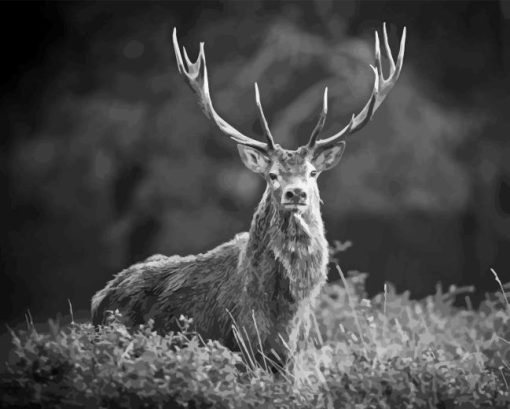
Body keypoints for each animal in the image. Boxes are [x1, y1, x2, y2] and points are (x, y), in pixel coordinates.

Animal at [91, 23, 406, 364]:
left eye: (312, 172)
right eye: (272, 175)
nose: (296, 193)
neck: (282, 312)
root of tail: (100, 298)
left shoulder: (294, 355)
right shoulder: (242, 345)